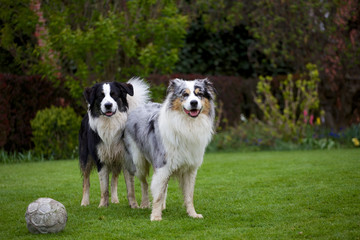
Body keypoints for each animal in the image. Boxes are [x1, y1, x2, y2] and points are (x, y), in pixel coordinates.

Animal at [79, 77, 149, 208]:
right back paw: (84, 202)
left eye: (114, 95)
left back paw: (115, 200)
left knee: (114, 179)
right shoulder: (100, 159)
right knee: (86, 180)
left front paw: (134, 205)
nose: (108, 105)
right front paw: (102, 205)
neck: (110, 123)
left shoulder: (126, 157)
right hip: (86, 157)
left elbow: (130, 187)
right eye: (100, 96)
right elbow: (103, 187)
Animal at [125, 78, 215, 220]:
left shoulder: (190, 169)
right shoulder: (162, 165)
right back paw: (144, 204)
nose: (194, 102)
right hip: (138, 162)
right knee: (144, 183)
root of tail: (139, 107)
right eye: (185, 94)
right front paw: (156, 217)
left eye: (199, 94)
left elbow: (189, 195)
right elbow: (158, 194)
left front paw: (193, 214)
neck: (187, 125)